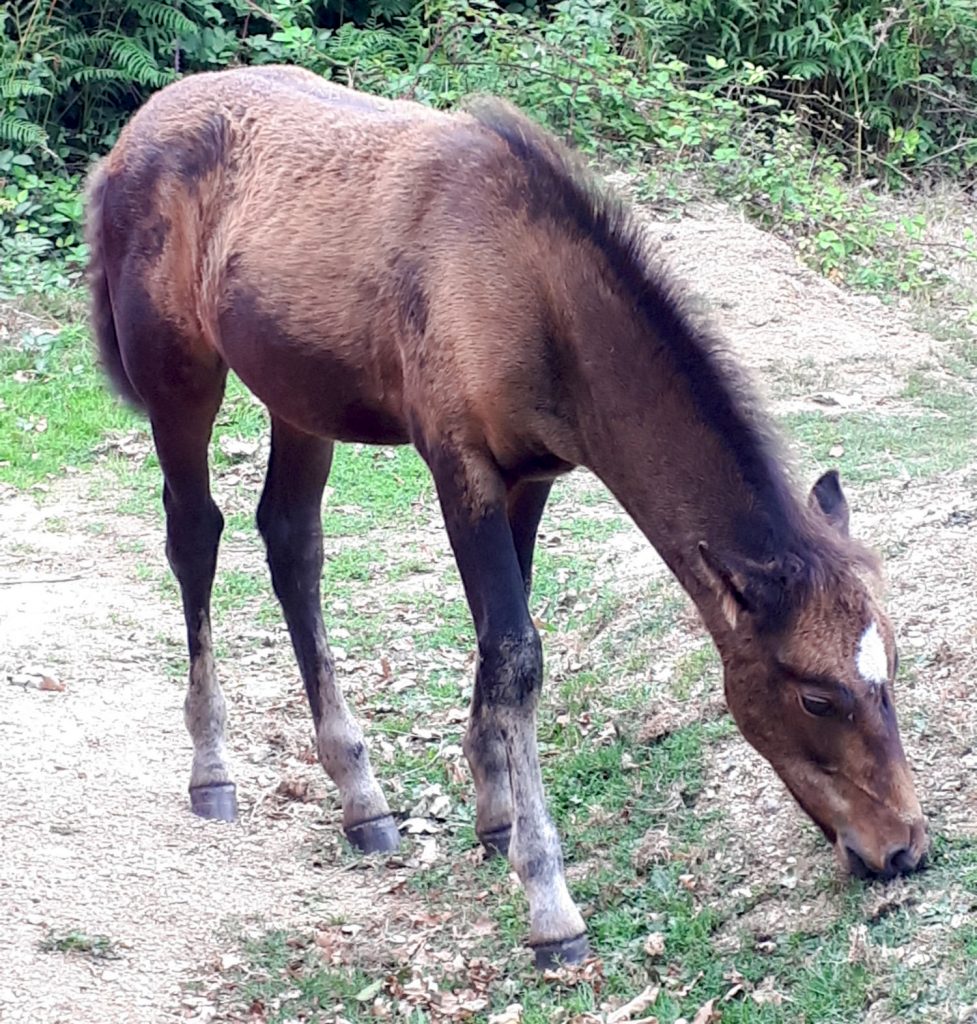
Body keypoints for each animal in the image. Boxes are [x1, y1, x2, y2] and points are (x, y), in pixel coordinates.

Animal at [83, 66, 921, 966]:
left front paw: (494, 819)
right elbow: (516, 653)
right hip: (180, 378)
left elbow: (498, 643)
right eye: (815, 699)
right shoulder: (461, 467)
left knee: (291, 542)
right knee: (195, 534)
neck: (531, 291)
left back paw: (360, 798)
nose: (902, 847)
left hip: (297, 398)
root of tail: (128, 141)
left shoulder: (531, 477)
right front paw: (549, 900)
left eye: (891, 668)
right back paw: (213, 769)